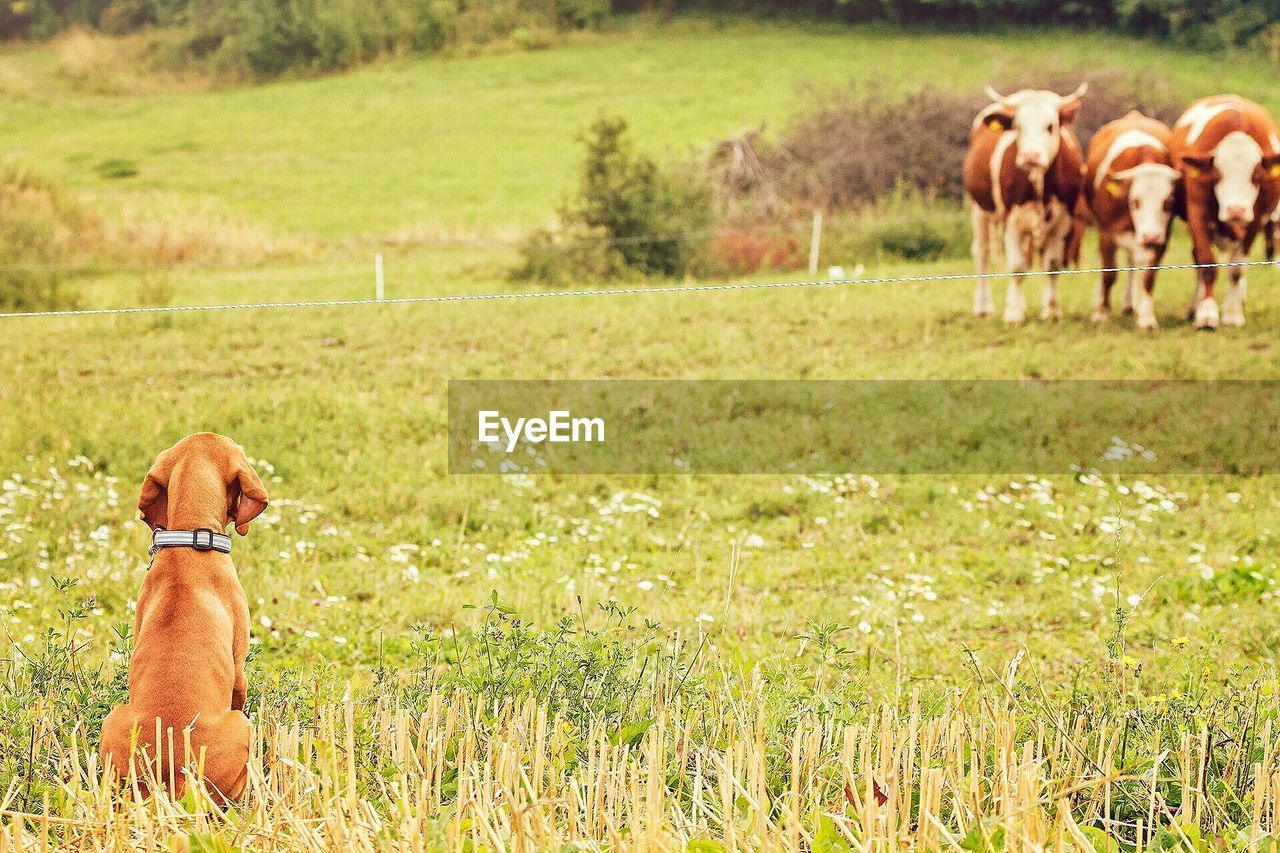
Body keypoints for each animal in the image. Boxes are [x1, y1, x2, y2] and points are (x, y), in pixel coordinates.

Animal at [962, 83, 1085, 322]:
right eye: (1018, 127)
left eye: (1050, 126)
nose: (1030, 156)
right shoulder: (1011, 221)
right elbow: (1017, 267)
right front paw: (1014, 313)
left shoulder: (1063, 222)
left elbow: (1052, 264)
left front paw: (1052, 311)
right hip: (979, 209)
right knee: (982, 253)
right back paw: (984, 306)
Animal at [1080, 110, 1177, 327]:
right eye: (1135, 201)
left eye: (1168, 202)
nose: (1150, 236)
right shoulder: (1106, 235)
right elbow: (1109, 273)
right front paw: (1102, 313)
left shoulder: (1162, 238)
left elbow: (1148, 276)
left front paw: (1147, 318)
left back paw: (1131, 305)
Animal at [1172, 94, 1280, 326]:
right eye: (1217, 174)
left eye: (1257, 174)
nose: (1236, 210)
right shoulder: (1197, 214)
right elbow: (1206, 263)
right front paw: (1206, 313)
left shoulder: (1256, 220)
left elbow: (1237, 269)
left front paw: (1232, 313)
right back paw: (1195, 306)